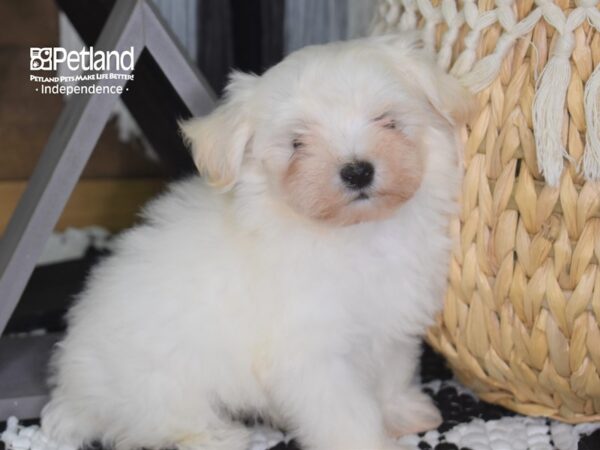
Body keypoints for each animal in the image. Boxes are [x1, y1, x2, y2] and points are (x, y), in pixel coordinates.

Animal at [41, 34, 474, 450]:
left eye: (388, 121)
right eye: (297, 143)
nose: (357, 171)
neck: (355, 233)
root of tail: (72, 390)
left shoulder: (391, 324)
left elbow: (392, 375)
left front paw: (403, 412)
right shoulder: (312, 355)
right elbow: (346, 413)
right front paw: (368, 444)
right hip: (159, 382)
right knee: (154, 424)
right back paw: (218, 437)